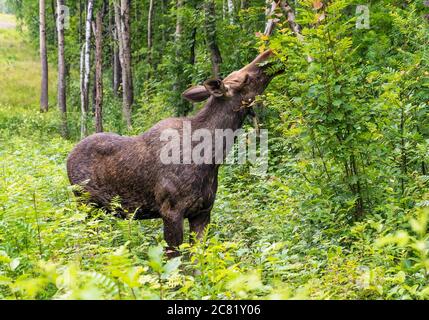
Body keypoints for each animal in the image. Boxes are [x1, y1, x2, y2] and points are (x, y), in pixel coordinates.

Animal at [67, 48, 280, 258]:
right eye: (245, 78)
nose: (269, 52)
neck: (211, 158)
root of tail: (68, 158)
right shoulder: (171, 211)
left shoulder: (203, 212)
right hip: (86, 204)